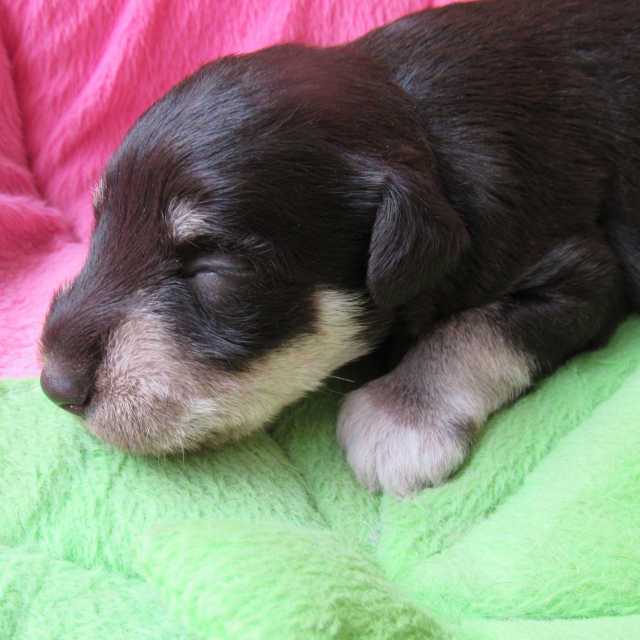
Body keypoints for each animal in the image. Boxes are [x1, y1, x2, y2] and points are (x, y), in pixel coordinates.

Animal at [39, 0, 640, 497]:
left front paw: (400, 415)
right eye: (101, 226)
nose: (53, 385)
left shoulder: (582, 270)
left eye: (214, 268)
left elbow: (474, 329)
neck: (418, 129)